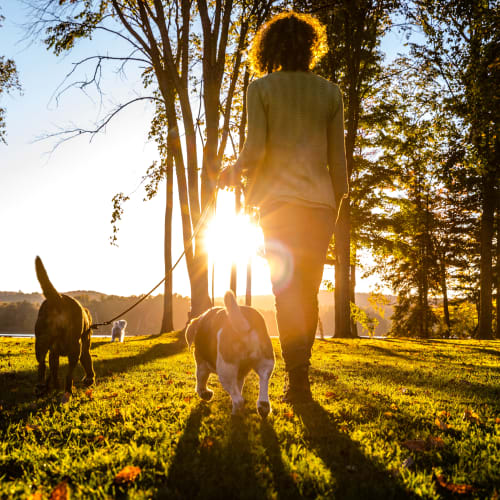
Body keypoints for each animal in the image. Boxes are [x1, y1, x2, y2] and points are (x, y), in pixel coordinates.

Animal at [35, 256, 94, 396]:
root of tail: (59, 299)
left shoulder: (53, 352)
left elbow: (53, 371)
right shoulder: (84, 348)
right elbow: (87, 361)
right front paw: (89, 378)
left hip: (41, 341)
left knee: (42, 365)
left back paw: (42, 386)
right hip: (75, 347)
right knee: (69, 374)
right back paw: (68, 391)